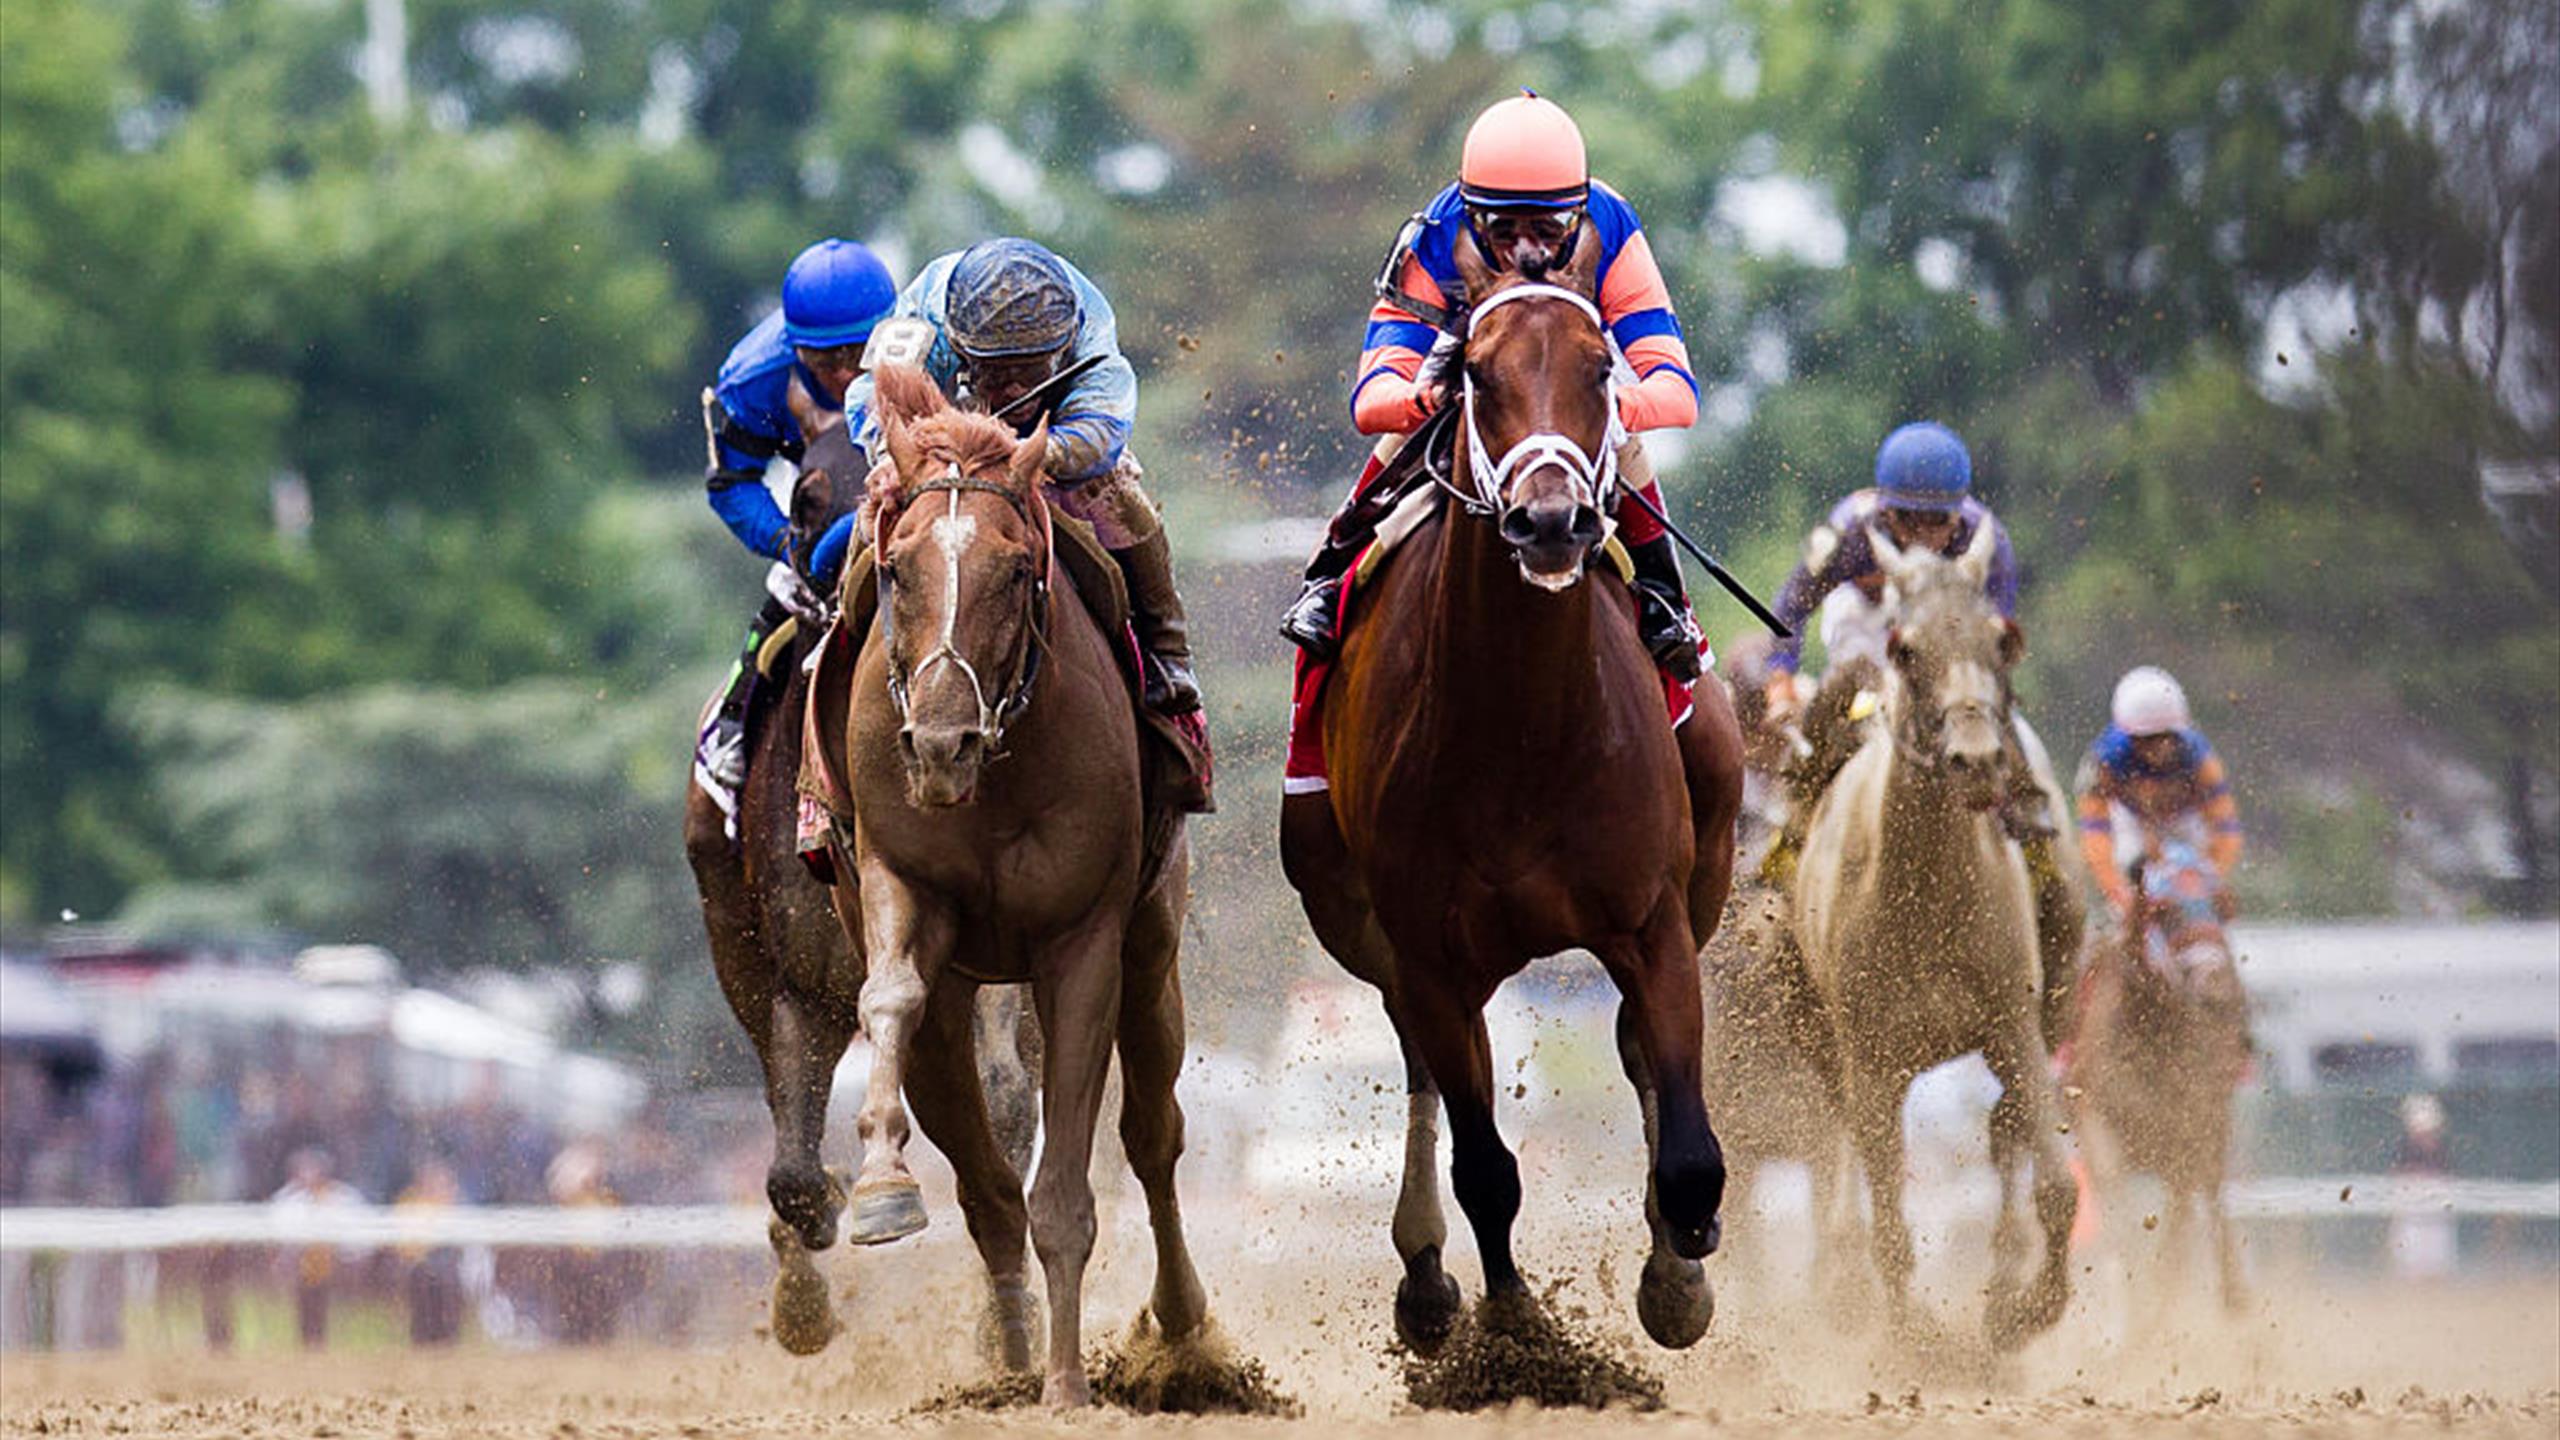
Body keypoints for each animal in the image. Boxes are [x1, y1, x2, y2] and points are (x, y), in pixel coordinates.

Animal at [803, 364, 1208, 1406]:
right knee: (986, 1185)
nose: (941, 742)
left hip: (1154, 944)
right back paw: (1011, 1347)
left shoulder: (1084, 942)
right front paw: (881, 1187)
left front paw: (1067, 1387)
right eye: (896, 569)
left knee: (1154, 1135)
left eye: (1018, 570)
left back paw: (1180, 1329)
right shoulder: (899, 884)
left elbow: (1066, 1189)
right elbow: (891, 997)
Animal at [1279, 227, 1747, 1356]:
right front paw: (1516, 1338)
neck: (1525, 731)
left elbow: (1688, 1154)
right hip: (1361, 923)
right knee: (1422, 1069)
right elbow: (1485, 1167)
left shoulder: (1654, 920)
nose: (1549, 522)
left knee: (1633, 1053)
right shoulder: (1428, 950)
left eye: (1601, 370)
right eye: (1477, 376)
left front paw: (1677, 1279)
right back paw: (1423, 1275)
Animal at [1789, 521, 2077, 1349]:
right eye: (1906, 647)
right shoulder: (1870, 1056)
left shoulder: (2015, 1024)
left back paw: (2003, 1278)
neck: (1926, 898)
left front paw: (2024, 1311)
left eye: (2000, 639)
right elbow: (1886, 1214)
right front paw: (1912, 1336)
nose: (1976, 761)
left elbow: (2054, 1184)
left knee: (2005, 1139)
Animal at [2070, 840, 2251, 1314]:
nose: (2218, 982)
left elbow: (2179, 1227)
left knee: (2212, 1195)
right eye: (2164, 910)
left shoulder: (2189, 1132)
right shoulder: (2097, 1124)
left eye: (2222, 905)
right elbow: (2121, 1219)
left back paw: (2233, 1296)